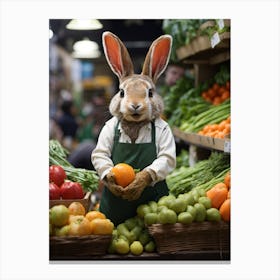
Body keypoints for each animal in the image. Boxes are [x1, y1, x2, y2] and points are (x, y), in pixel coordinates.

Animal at [91, 30, 175, 223]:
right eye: (122, 92)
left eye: (150, 93)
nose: (135, 105)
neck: (135, 124)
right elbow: (100, 155)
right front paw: (112, 180)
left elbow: (165, 158)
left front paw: (137, 184)